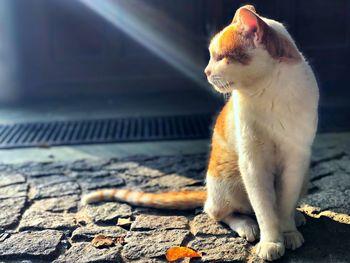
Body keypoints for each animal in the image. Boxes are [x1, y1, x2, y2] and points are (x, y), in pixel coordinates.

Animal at [82, 5, 320, 262]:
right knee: (220, 212)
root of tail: (208, 193)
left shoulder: (296, 159)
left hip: (304, 175)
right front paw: (271, 241)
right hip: (228, 178)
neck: (272, 93)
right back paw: (247, 225)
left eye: (220, 57)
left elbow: (283, 205)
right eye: (212, 56)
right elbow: (265, 210)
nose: (205, 71)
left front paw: (288, 231)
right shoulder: (253, 164)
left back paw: (297, 216)